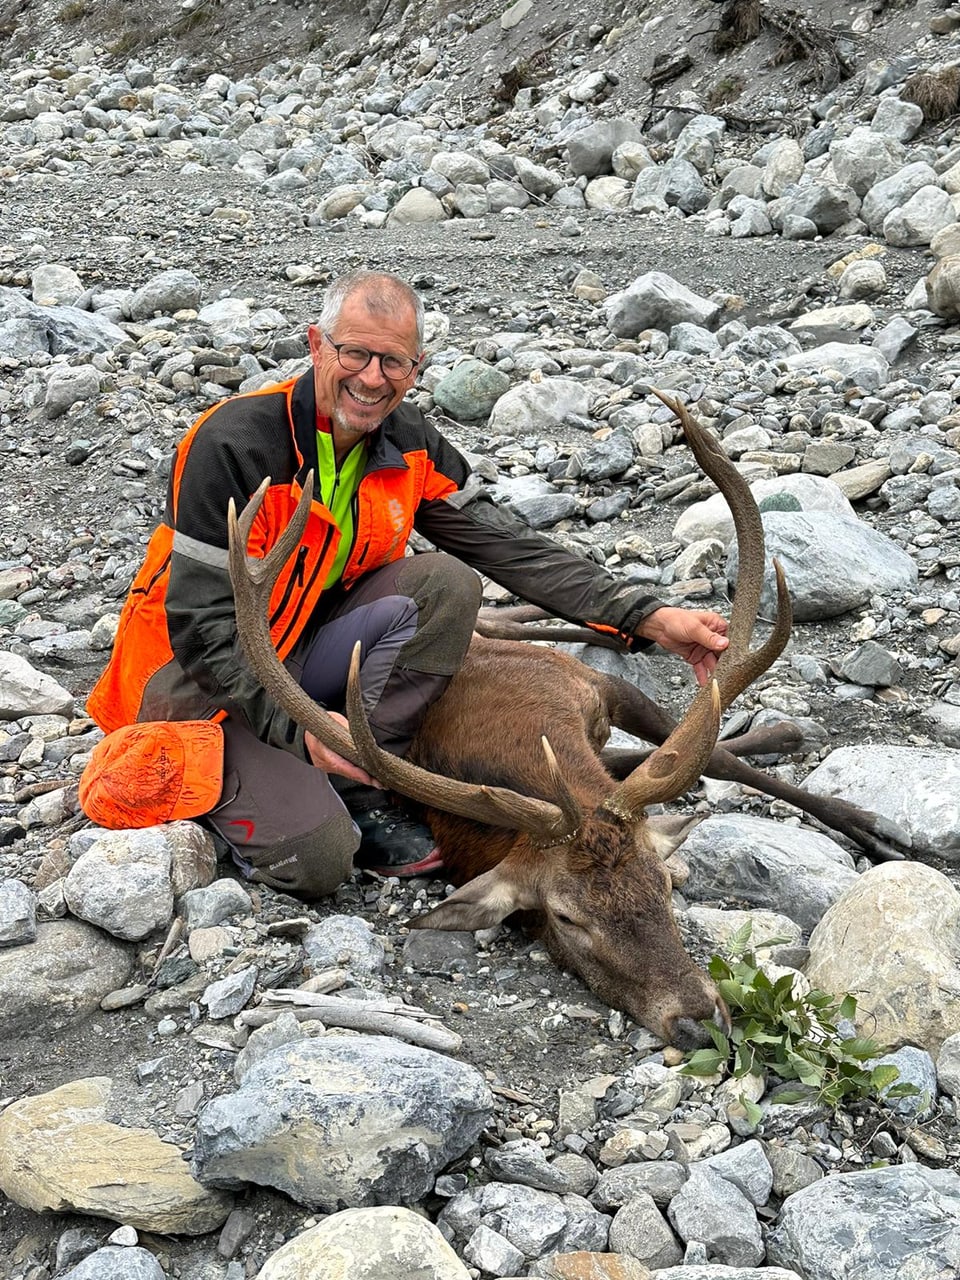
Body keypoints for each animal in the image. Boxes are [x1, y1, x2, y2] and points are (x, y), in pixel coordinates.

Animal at [229, 391, 906, 1049]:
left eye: (664, 886)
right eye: (565, 916)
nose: (697, 1021)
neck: (531, 737)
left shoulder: (597, 689)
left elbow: (712, 753)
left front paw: (875, 828)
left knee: (528, 622)